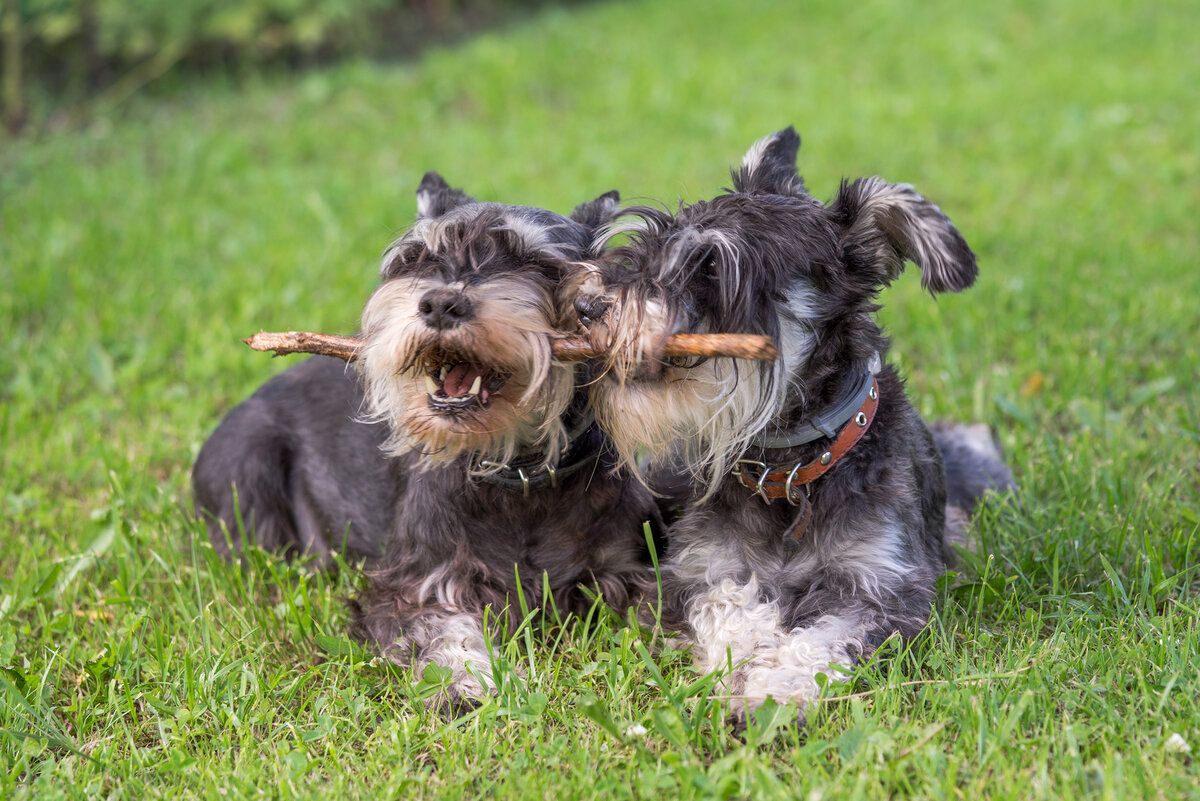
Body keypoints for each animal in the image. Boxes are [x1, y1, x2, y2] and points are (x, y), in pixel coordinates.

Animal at [196, 173, 667, 705]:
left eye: (538, 265)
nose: (440, 303)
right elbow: (443, 632)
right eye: (417, 258)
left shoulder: (624, 571)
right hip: (248, 470)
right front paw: (467, 684)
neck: (519, 476)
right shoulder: (422, 583)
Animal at [576, 126, 1008, 719]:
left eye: (712, 266)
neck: (789, 468)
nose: (587, 307)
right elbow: (728, 603)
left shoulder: (883, 585)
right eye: (649, 242)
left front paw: (774, 690)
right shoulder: (693, 572)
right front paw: (743, 660)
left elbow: (824, 636)